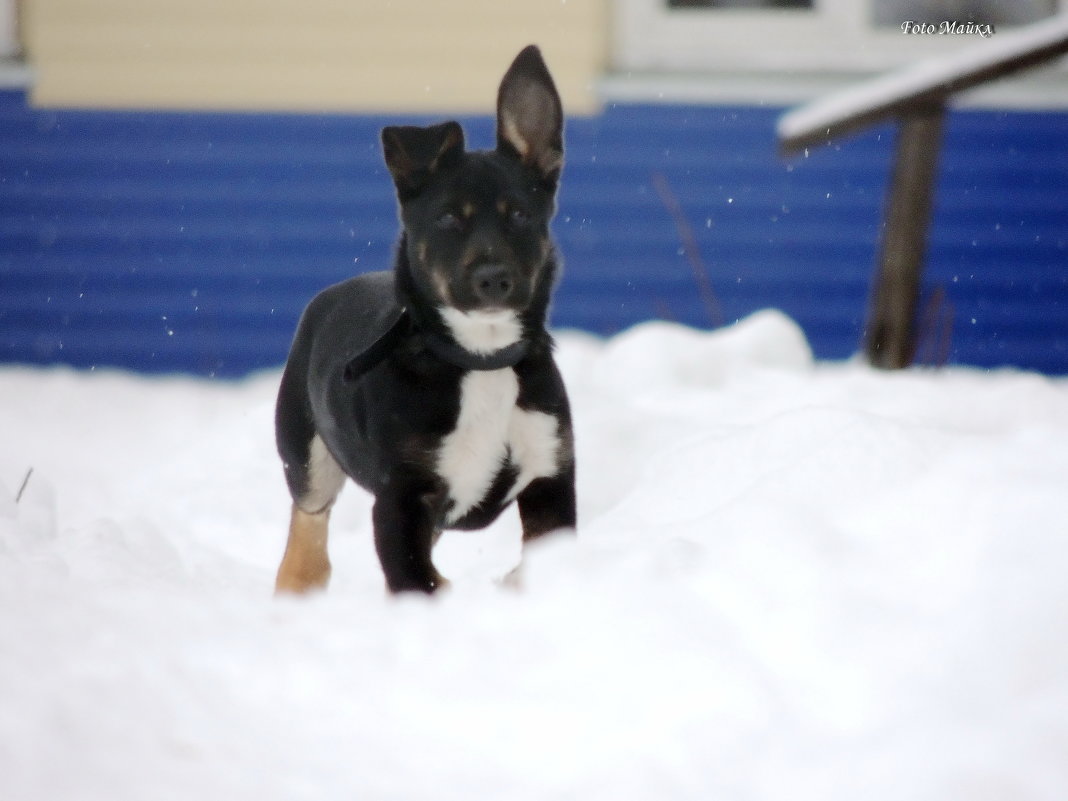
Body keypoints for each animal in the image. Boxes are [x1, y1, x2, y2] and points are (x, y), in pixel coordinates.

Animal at [275, 45, 576, 598]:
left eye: (520, 216)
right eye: (448, 219)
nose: (494, 280)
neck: (481, 358)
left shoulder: (550, 471)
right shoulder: (401, 496)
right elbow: (416, 580)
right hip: (304, 446)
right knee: (307, 523)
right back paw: (298, 587)